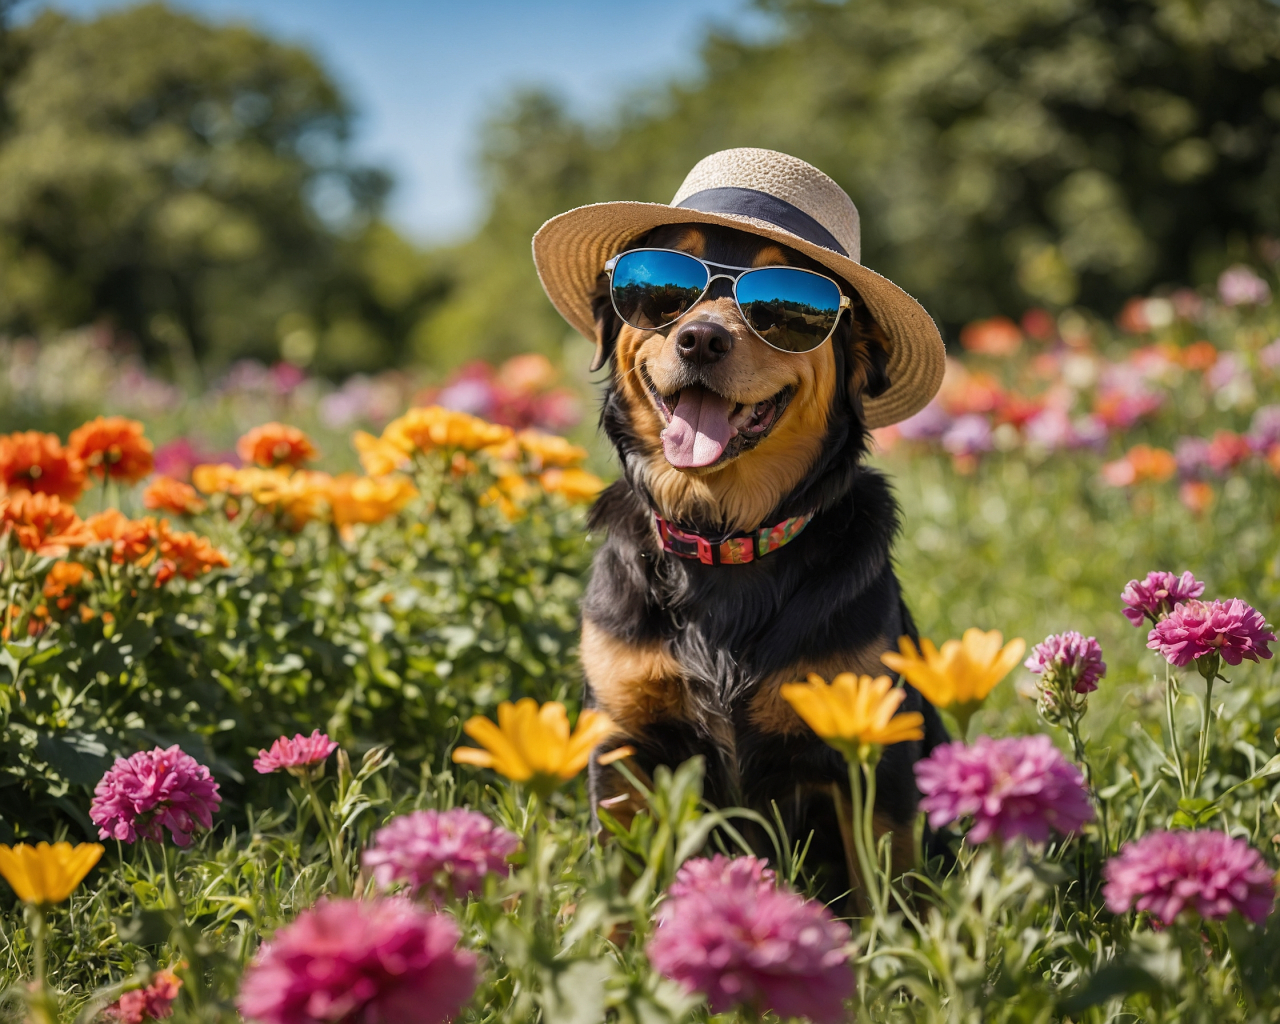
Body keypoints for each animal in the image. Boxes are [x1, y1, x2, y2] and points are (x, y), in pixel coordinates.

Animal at [529, 144, 952, 896]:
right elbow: (623, 883)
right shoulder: (621, 741)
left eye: (784, 308)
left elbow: (889, 889)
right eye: (664, 288)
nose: (700, 339)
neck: (725, 536)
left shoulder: (872, 750)